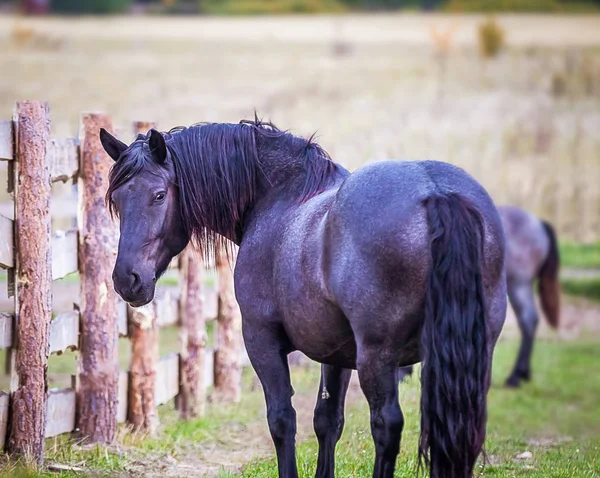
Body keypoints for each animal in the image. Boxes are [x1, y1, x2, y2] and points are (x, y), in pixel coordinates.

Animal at [99, 119, 506, 478]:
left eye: (158, 195)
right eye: (116, 200)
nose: (126, 279)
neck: (279, 198)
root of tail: (436, 192)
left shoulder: (262, 341)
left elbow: (282, 420)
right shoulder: (337, 353)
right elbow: (327, 422)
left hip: (378, 356)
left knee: (386, 425)